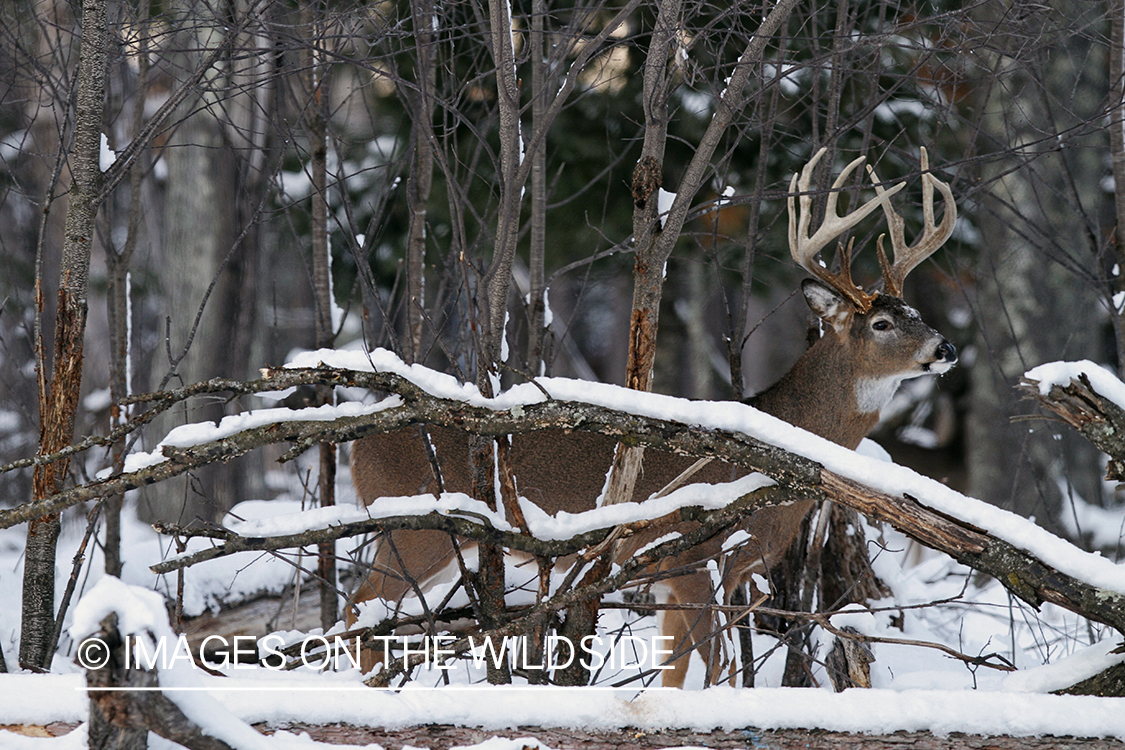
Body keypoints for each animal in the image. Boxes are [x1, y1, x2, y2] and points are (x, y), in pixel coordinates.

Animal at [344, 146, 958, 688]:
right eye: (881, 324)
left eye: (916, 313)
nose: (946, 347)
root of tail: (357, 441)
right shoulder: (692, 557)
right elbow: (717, 667)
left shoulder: (699, 577)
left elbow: (675, 670)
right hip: (416, 526)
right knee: (360, 609)